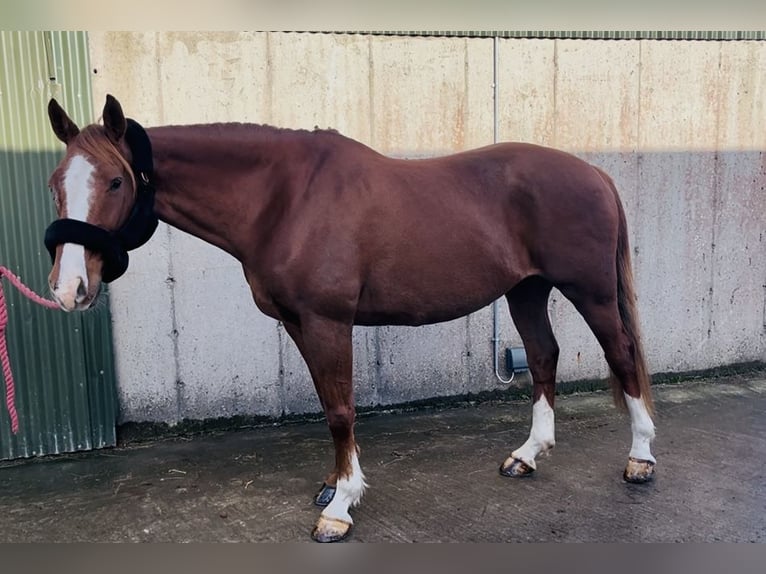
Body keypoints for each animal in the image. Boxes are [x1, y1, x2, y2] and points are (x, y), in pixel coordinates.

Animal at [43, 94, 657, 542]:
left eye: (116, 181)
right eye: (55, 184)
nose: (69, 289)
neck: (284, 197)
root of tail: (595, 174)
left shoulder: (326, 321)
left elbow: (341, 410)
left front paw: (339, 507)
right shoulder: (299, 323)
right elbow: (327, 404)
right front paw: (336, 483)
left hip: (590, 293)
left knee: (621, 356)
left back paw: (640, 459)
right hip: (526, 290)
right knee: (543, 356)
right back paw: (527, 457)